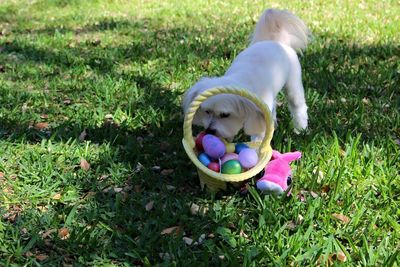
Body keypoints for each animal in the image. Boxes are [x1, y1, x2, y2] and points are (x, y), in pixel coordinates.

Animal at [183, 8, 310, 140]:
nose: (210, 131)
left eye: (225, 115)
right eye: (207, 111)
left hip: (293, 85)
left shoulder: (260, 116)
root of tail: (276, 41)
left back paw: (300, 130)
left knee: (298, 107)